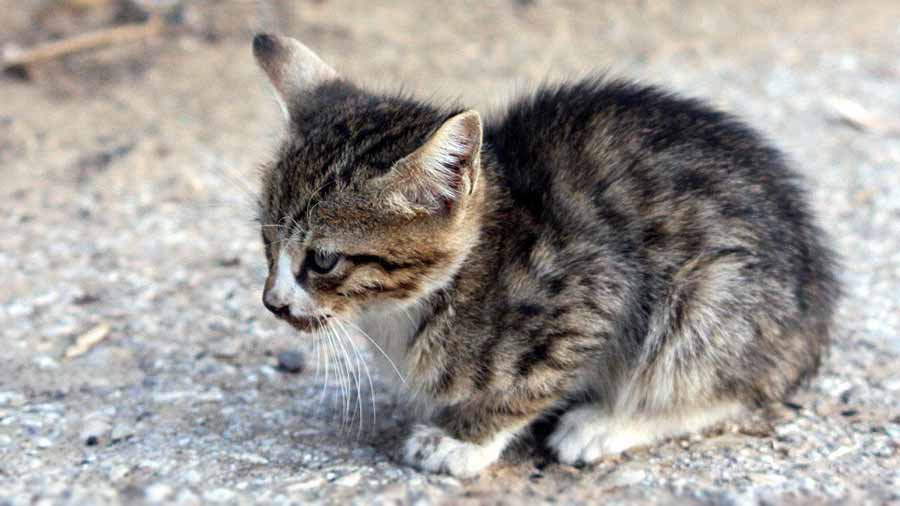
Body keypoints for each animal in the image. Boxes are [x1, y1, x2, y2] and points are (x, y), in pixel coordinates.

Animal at [250, 33, 840, 476]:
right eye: (266, 241)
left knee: (726, 385)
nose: (272, 302)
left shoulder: (594, 291)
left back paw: (608, 422)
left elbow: (530, 383)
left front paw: (464, 439)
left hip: (710, 296)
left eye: (324, 260)